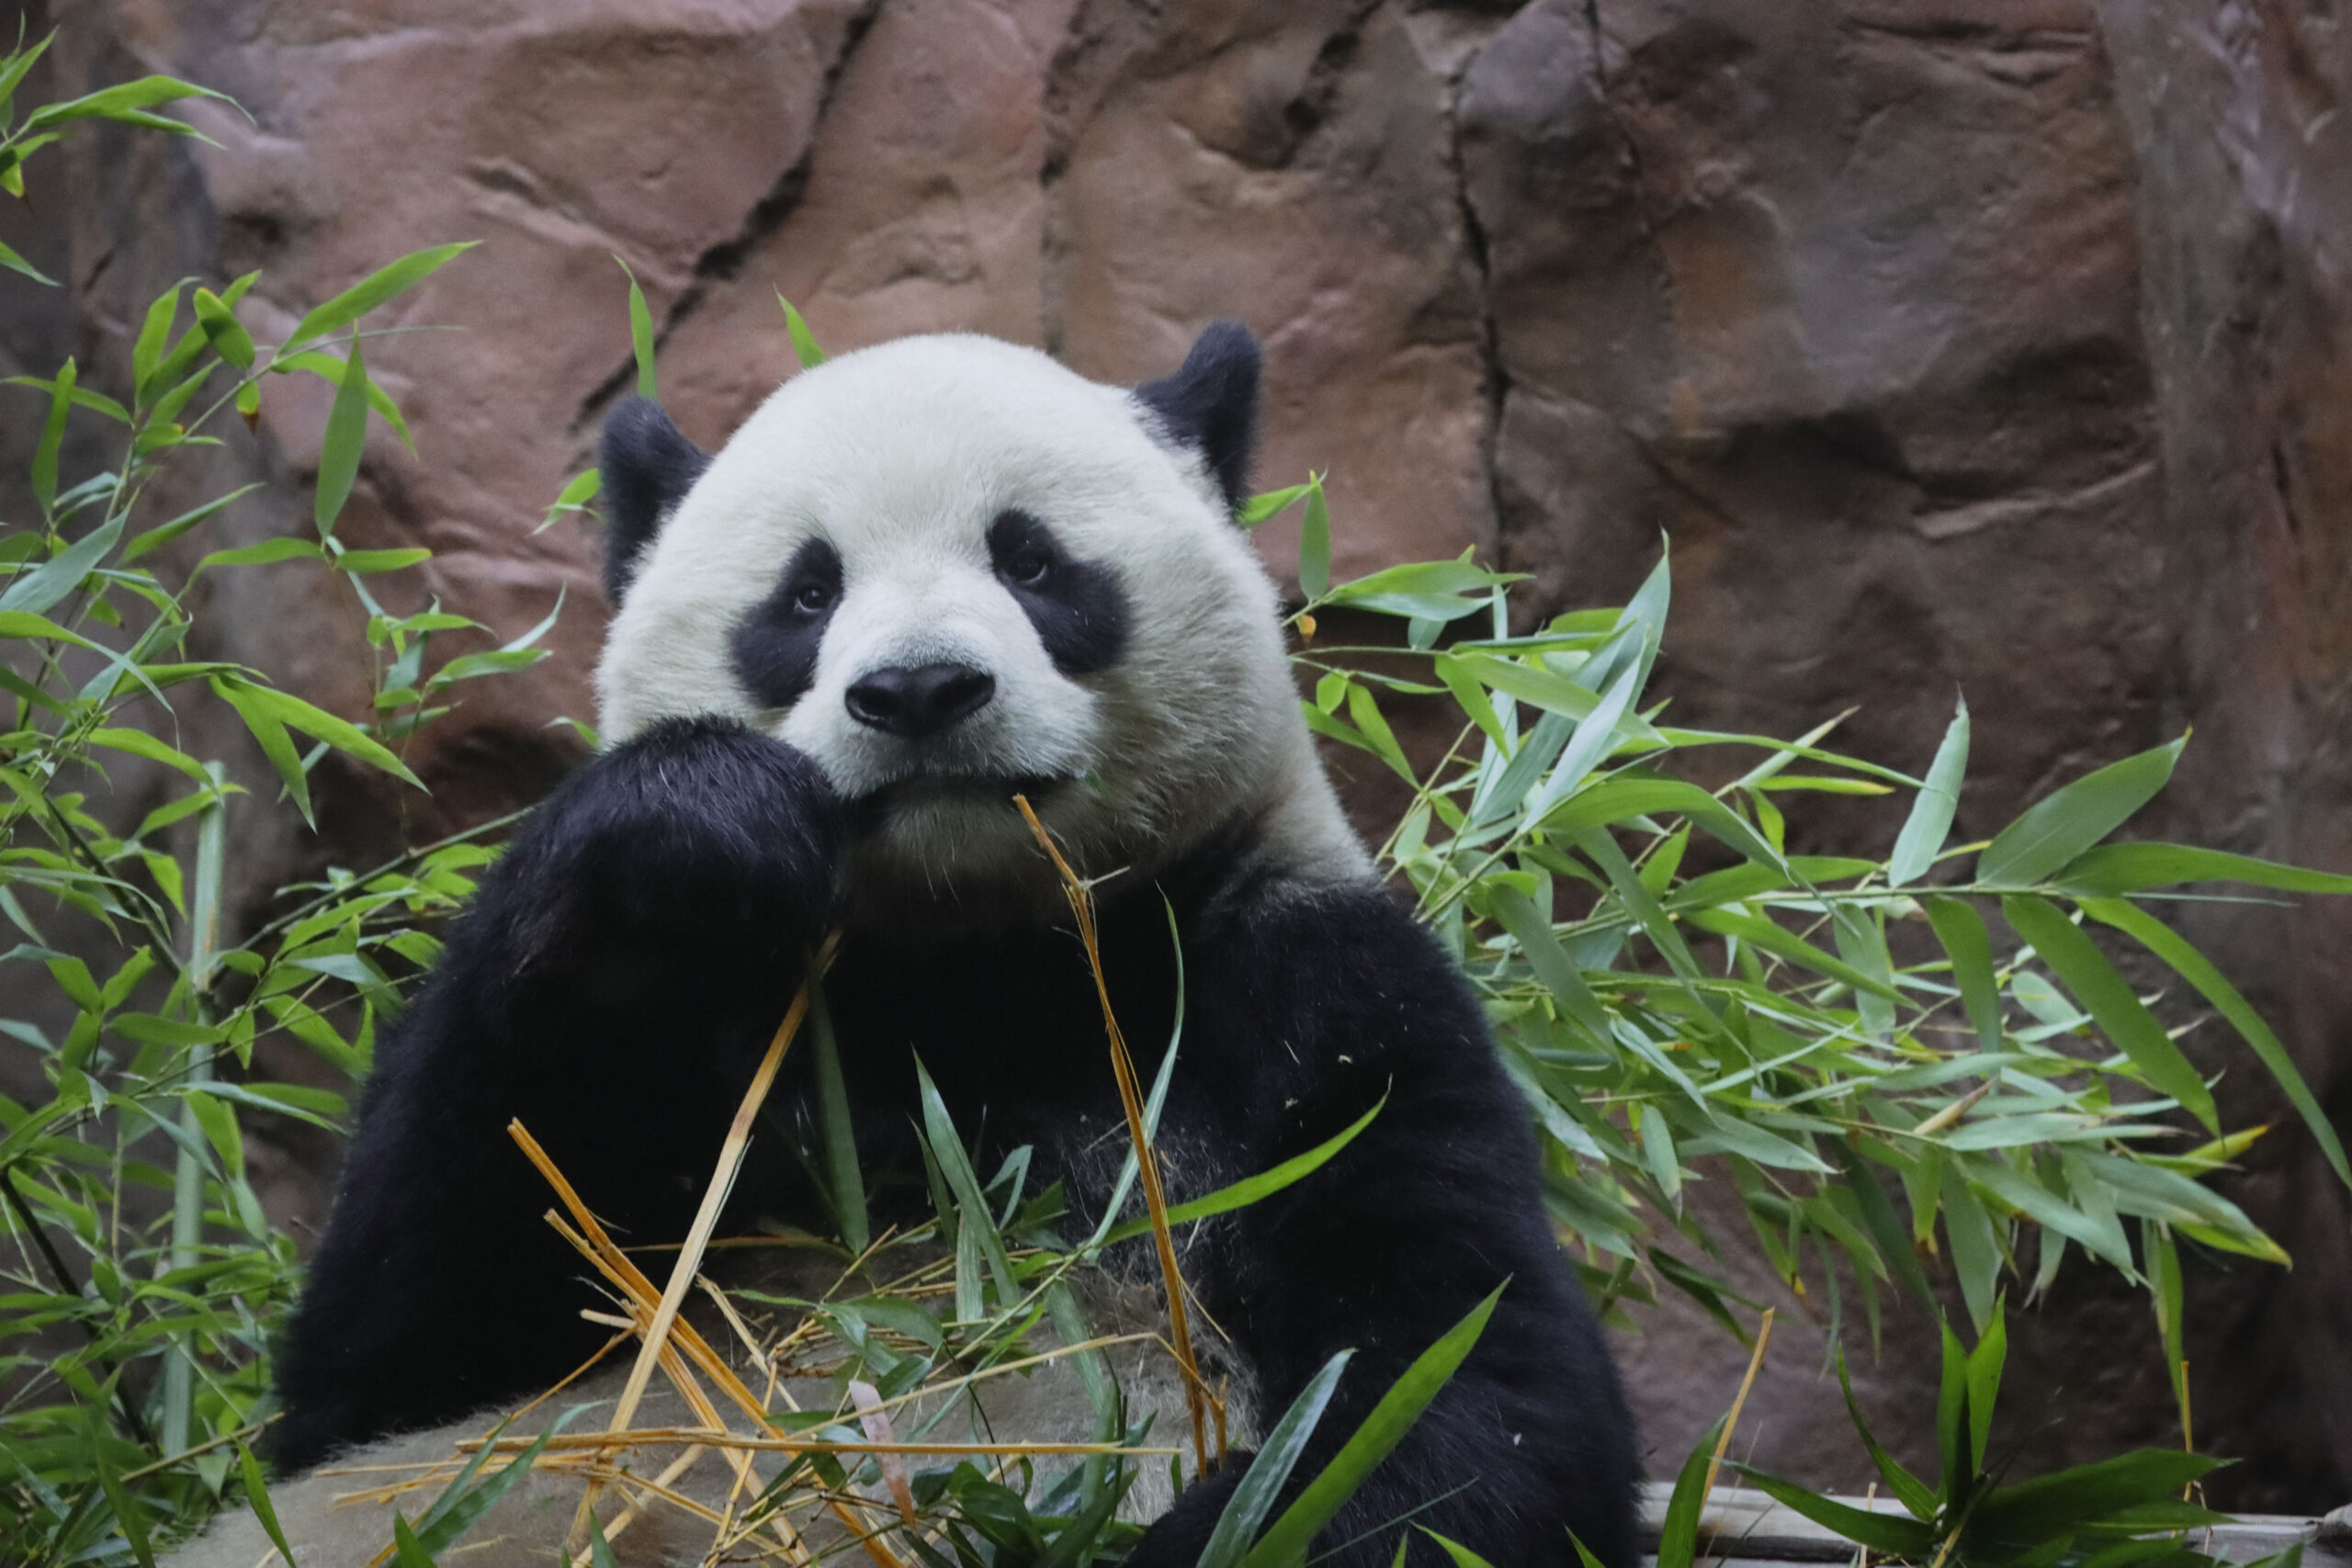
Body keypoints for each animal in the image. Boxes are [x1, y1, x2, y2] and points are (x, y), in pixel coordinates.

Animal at [174, 324, 1636, 1561]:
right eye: (807, 592)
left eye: (1032, 560)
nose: (921, 688)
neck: (980, 962)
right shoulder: (721, 1046)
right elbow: (398, 1365)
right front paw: (694, 825)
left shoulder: (1302, 992)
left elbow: (1456, 1395)